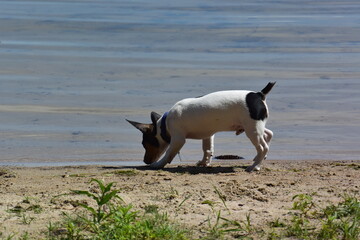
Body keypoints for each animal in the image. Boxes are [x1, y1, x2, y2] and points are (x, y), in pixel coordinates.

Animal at [127, 81, 276, 172]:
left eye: (144, 144)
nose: (145, 161)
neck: (164, 124)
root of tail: (259, 94)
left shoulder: (178, 139)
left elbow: (169, 153)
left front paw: (158, 164)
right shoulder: (208, 135)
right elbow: (207, 150)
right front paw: (205, 162)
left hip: (252, 130)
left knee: (263, 147)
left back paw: (255, 166)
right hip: (255, 126)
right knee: (269, 134)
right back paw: (258, 158)